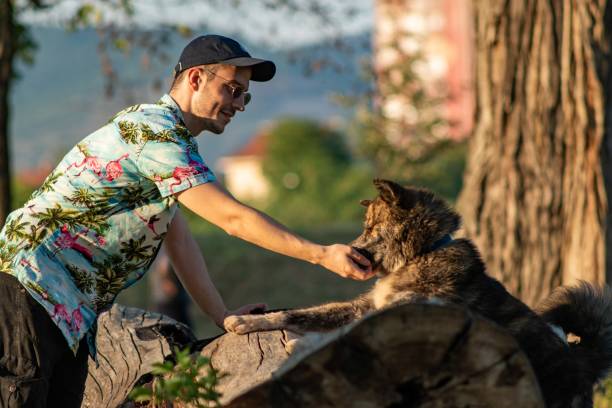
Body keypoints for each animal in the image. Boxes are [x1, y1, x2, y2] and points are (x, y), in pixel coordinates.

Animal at [224, 178, 612, 408]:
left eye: (371, 229)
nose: (350, 251)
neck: (421, 254)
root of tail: (582, 358)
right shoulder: (363, 307)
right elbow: (297, 313)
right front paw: (246, 321)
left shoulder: (400, 311)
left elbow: (334, 334)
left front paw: (300, 345)